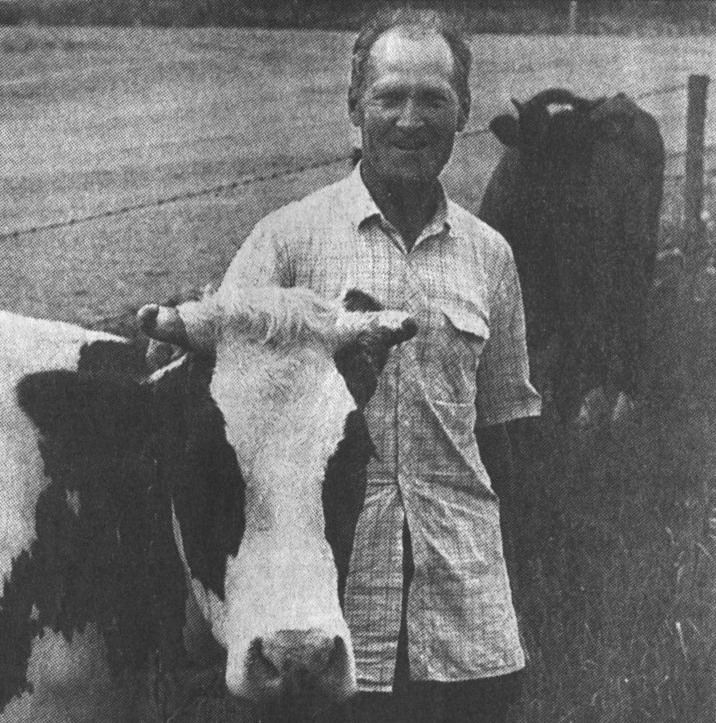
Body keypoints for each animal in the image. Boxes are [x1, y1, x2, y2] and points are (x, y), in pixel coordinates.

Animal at [479, 88, 665, 428]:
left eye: (580, 153)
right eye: (532, 147)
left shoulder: (577, 309)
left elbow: (566, 382)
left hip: (637, 257)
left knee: (630, 318)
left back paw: (625, 402)